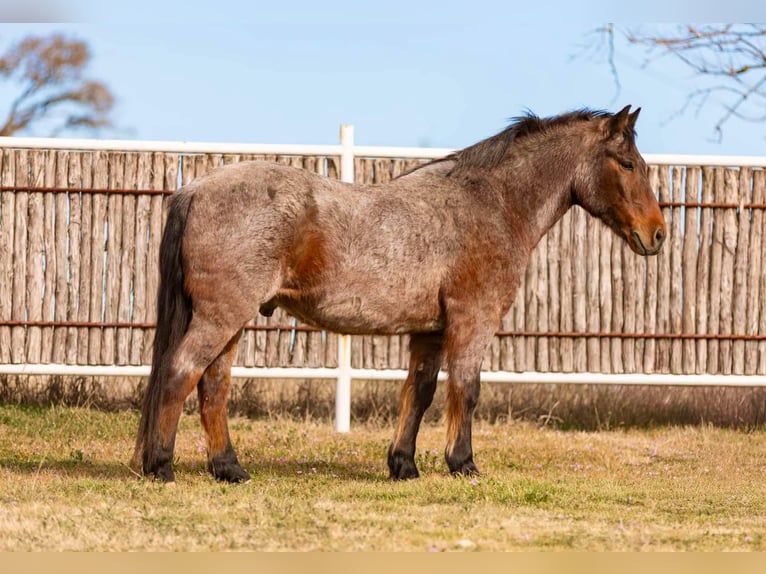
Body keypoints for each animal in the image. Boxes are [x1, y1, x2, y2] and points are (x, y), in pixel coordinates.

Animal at [135, 106, 668, 484]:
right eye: (627, 164)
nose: (658, 234)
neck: (491, 204)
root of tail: (194, 190)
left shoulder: (429, 332)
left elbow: (420, 391)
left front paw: (403, 465)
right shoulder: (473, 321)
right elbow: (466, 389)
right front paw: (463, 464)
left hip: (231, 323)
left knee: (212, 387)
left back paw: (230, 469)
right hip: (221, 317)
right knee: (181, 373)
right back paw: (160, 466)